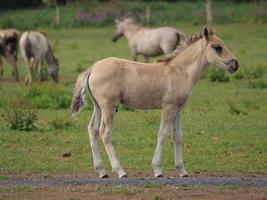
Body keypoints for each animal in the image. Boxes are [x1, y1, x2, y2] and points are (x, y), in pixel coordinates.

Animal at [72, 26, 240, 178]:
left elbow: (177, 136)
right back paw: (120, 171)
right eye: (217, 47)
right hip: (109, 106)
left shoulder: (178, 110)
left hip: (98, 106)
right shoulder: (168, 107)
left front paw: (182, 171)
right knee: (105, 132)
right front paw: (157, 169)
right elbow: (162, 134)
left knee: (92, 129)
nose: (235, 64)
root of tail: (93, 67)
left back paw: (102, 171)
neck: (180, 71)